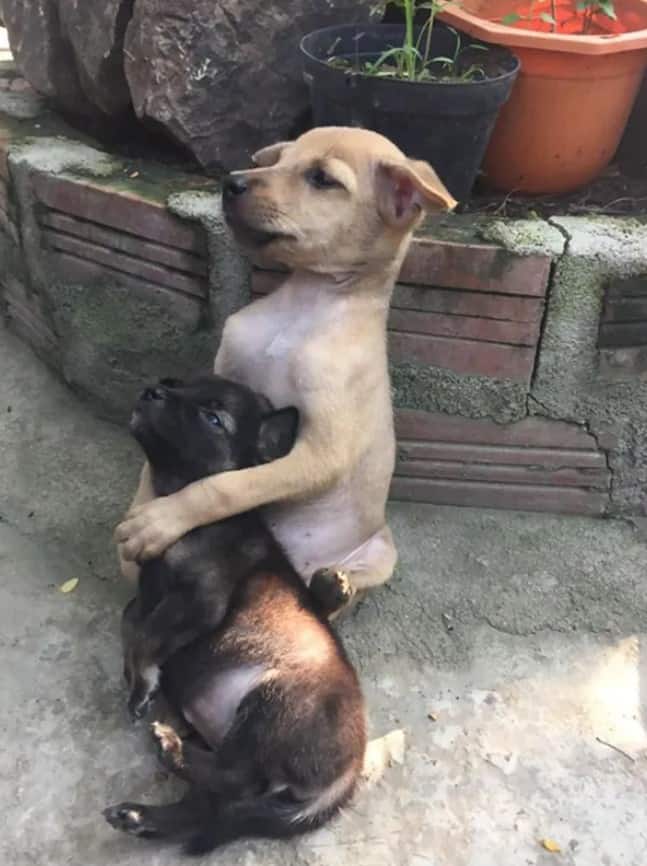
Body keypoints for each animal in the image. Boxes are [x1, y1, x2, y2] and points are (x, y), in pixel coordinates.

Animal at [104, 376, 368, 852]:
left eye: (213, 419)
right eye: (174, 383)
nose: (152, 391)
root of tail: (350, 773)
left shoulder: (201, 598)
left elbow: (147, 634)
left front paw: (142, 684)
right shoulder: (151, 596)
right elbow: (132, 619)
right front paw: (136, 677)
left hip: (276, 703)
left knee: (238, 779)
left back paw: (170, 749)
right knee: (205, 807)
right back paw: (140, 815)